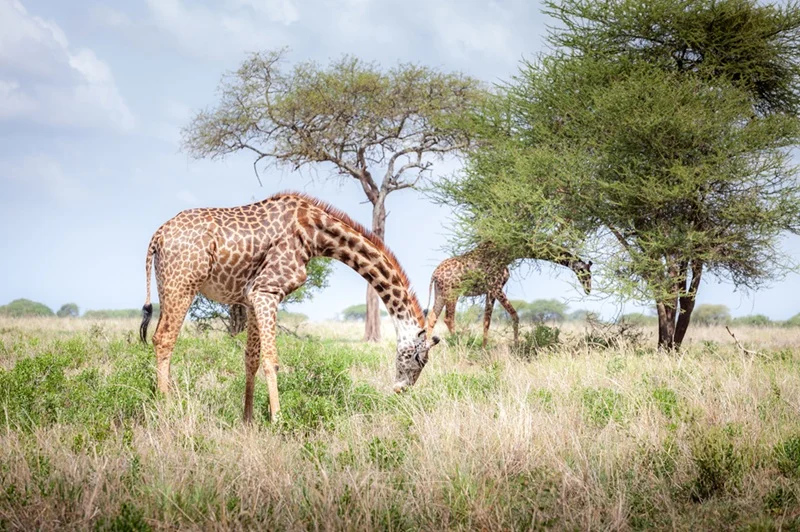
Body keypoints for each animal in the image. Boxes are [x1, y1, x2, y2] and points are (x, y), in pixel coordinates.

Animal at [139, 192, 440, 423]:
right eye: (419, 359)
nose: (401, 390)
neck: (315, 234)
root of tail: (157, 236)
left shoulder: (251, 297)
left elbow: (251, 359)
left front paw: (248, 420)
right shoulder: (266, 291)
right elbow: (272, 361)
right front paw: (278, 420)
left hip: (167, 285)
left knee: (160, 337)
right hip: (183, 284)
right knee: (164, 339)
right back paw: (165, 408)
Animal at [424, 243, 592, 346]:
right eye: (585, 273)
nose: (588, 289)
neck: (509, 254)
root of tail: (434, 274)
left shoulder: (490, 290)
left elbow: (486, 321)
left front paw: (484, 349)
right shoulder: (496, 287)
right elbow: (515, 315)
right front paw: (516, 347)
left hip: (440, 293)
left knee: (432, 317)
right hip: (452, 292)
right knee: (448, 318)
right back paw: (459, 346)